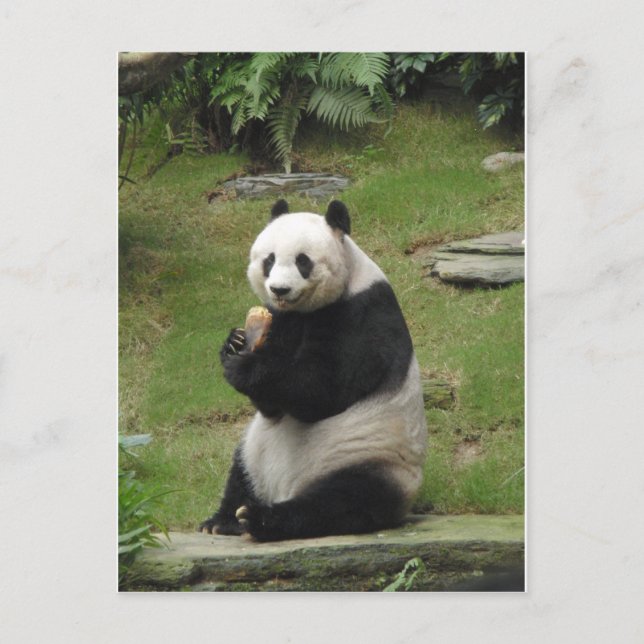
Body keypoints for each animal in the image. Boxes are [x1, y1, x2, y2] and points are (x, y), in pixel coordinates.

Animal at [199, 199, 427, 542]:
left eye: (302, 261)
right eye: (269, 260)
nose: (279, 289)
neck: (305, 310)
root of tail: (284, 489)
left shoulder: (361, 314)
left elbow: (322, 390)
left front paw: (245, 365)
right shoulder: (282, 319)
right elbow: (271, 406)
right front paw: (235, 343)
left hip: (368, 457)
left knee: (341, 501)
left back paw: (261, 520)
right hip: (254, 450)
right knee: (240, 473)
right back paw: (224, 520)